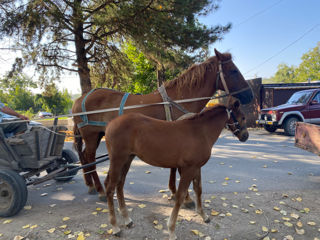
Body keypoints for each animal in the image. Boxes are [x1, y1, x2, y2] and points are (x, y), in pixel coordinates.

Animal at [72, 49, 252, 202]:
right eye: (234, 71)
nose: (250, 94)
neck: (180, 98)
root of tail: (80, 99)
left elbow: (173, 166)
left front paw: (173, 191)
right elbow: (178, 169)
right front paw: (185, 197)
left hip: (98, 135)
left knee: (84, 155)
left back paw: (90, 185)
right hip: (91, 135)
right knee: (89, 157)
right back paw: (100, 190)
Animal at [104, 97, 249, 238]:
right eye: (243, 117)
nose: (245, 136)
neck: (200, 132)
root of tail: (110, 124)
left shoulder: (197, 168)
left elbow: (198, 189)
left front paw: (204, 216)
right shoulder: (188, 169)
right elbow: (180, 196)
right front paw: (171, 230)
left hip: (127, 159)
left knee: (120, 185)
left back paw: (127, 220)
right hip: (118, 160)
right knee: (110, 189)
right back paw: (115, 227)